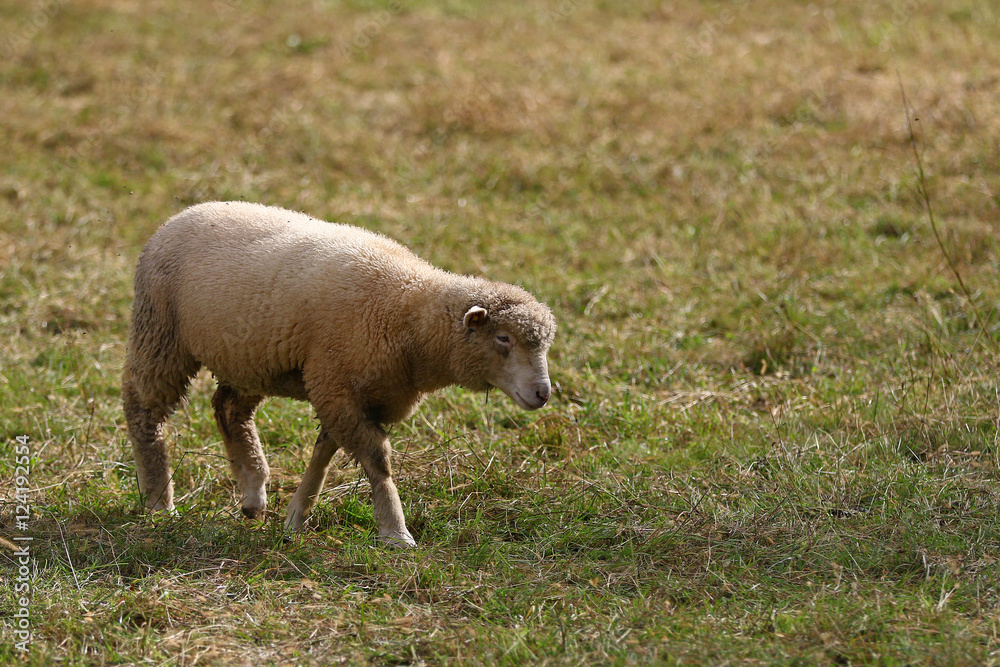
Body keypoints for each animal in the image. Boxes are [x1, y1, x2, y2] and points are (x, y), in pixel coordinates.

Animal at [123, 202, 556, 548]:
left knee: (229, 409)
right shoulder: (337, 387)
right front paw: (396, 532)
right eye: (503, 338)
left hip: (249, 356)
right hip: (160, 333)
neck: (408, 313)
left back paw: (253, 491)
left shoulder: (349, 391)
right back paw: (159, 501)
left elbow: (323, 454)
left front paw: (296, 517)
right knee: (142, 408)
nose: (543, 393)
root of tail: (182, 214)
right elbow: (377, 463)